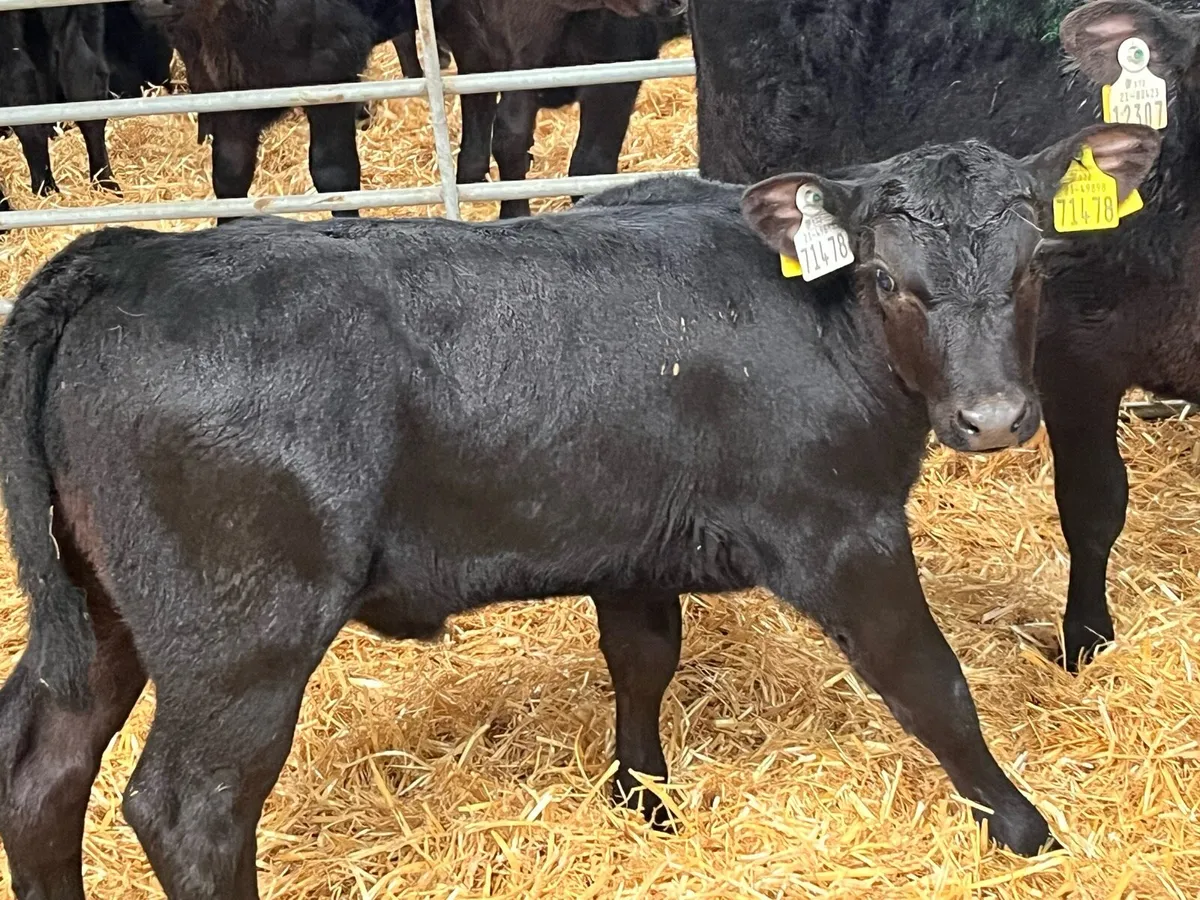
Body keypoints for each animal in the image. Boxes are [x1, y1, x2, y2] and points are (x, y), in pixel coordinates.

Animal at [0, 121, 1159, 896]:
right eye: (887, 276)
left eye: (1034, 264)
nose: (994, 417)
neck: (820, 319)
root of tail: (129, 255)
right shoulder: (841, 530)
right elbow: (930, 684)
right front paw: (1024, 828)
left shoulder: (632, 539)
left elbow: (642, 658)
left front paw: (642, 798)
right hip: (242, 634)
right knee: (189, 809)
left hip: (106, 608)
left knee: (40, 767)